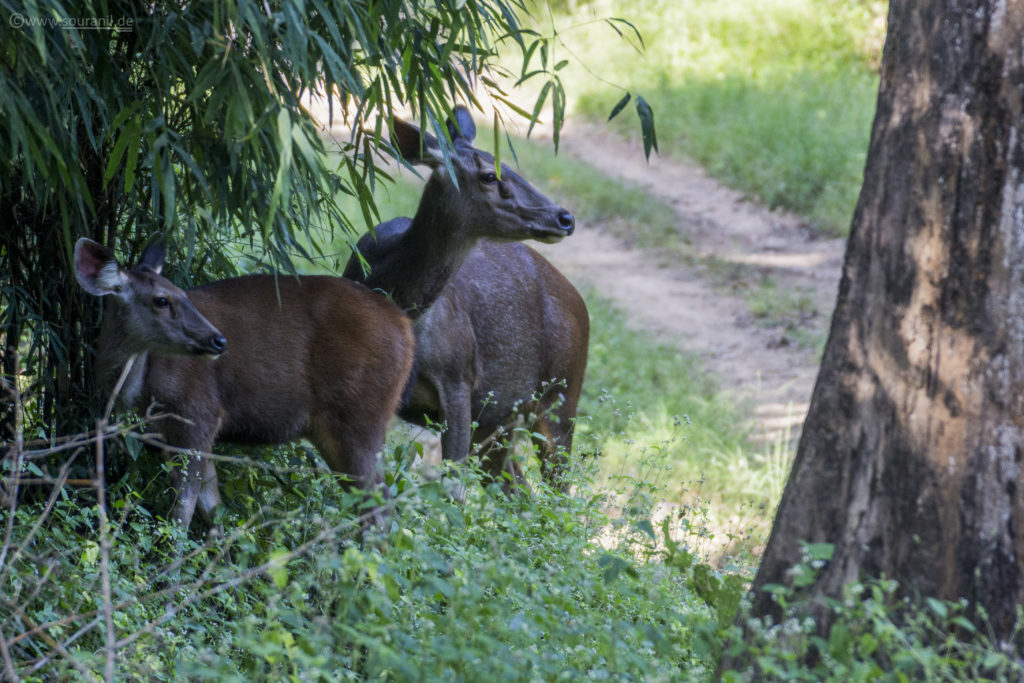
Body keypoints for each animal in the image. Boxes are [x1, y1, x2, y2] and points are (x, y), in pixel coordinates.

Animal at [74, 237, 415, 532]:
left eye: (183, 294)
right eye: (161, 300)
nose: (218, 340)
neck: (142, 386)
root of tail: (405, 328)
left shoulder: (197, 413)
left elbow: (183, 509)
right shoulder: (170, 429)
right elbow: (212, 507)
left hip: (359, 417)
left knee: (380, 507)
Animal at [344, 107, 589, 489]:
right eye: (489, 175)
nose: (565, 218)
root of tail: (579, 301)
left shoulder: (459, 380)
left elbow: (451, 488)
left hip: (561, 394)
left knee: (560, 490)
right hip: (499, 419)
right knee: (518, 487)